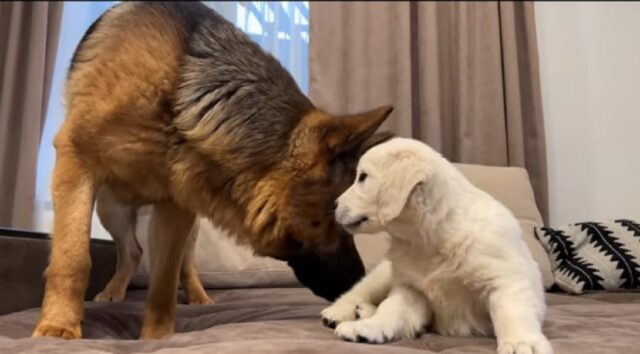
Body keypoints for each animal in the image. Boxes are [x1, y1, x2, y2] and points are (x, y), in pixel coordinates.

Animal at [33, 2, 396, 340]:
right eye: (339, 221)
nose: (358, 283)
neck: (179, 99)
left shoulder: (177, 203)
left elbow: (164, 280)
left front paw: (157, 337)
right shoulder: (75, 163)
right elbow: (72, 257)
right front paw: (59, 326)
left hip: (186, 219)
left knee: (181, 262)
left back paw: (197, 296)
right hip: (111, 207)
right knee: (132, 251)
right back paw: (113, 290)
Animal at [322, 138, 552, 354]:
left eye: (362, 177)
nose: (333, 205)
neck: (429, 239)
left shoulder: (505, 279)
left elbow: (513, 311)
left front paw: (522, 343)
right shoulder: (411, 288)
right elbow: (391, 308)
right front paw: (368, 327)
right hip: (383, 274)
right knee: (359, 291)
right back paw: (340, 312)